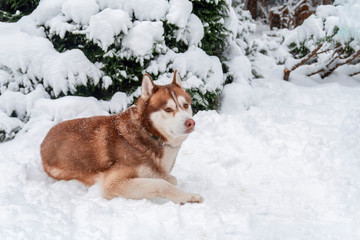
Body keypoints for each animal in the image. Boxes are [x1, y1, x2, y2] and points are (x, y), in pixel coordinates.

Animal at [41, 70, 204, 203]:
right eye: (168, 109)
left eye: (185, 105)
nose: (190, 122)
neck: (148, 133)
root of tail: (44, 140)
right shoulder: (114, 182)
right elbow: (162, 183)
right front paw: (188, 196)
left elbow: (171, 179)